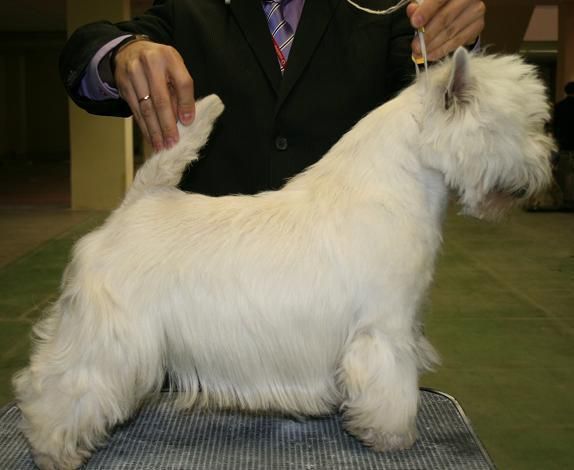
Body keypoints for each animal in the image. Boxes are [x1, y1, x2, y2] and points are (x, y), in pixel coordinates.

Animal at [13, 46, 556, 466]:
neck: (396, 184)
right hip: (107, 340)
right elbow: (393, 386)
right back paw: (52, 449)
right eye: (519, 125)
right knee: (55, 386)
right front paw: (393, 436)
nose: (544, 166)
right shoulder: (385, 329)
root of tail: (137, 203)